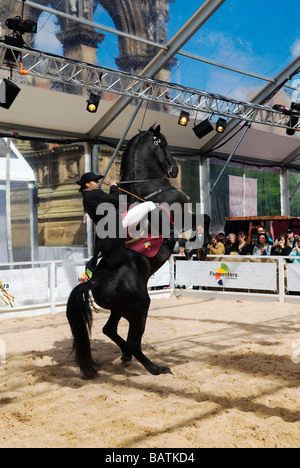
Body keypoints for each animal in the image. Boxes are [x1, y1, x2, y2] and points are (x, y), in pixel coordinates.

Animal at [67, 126, 210, 378]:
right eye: (163, 143)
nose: (174, 169)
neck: (149, 187)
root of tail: (92, 282)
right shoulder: (182, 213)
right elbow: (205, 218)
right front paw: (198, 246)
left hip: (120, 309)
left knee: (109, 330)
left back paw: (126, 355)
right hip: (140, 306)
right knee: (133, 341)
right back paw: (157, 368)